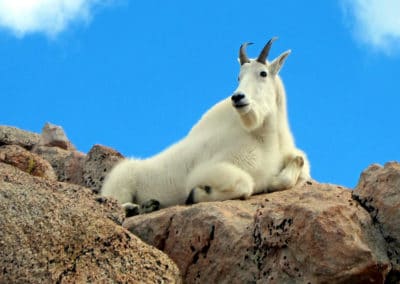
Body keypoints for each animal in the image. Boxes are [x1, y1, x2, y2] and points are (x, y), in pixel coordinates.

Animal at [101, 37, 310, 215]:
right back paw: (135, 208)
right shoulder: (206, 171)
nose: (238, 97)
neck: (263, 136)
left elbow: (297, 165)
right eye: (239, 77)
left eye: (263, 73)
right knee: (113, 200)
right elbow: (245, 184)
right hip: (121, 181)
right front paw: (196, 194)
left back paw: (148, 205)